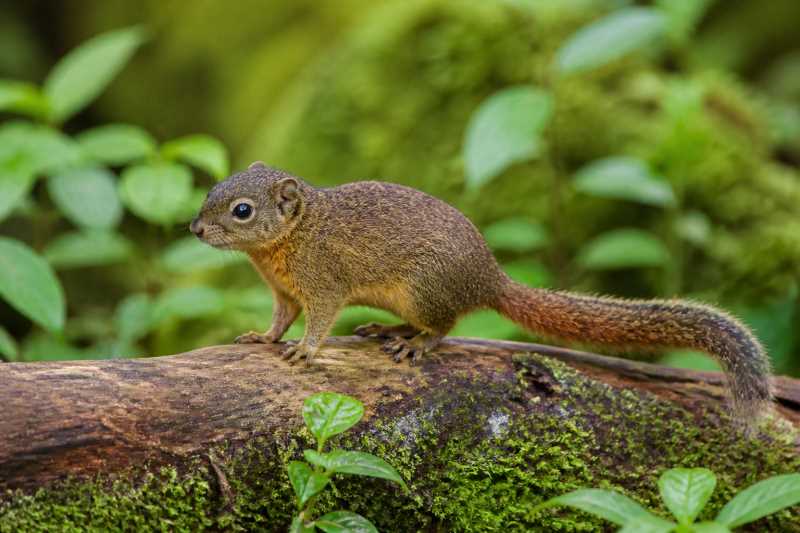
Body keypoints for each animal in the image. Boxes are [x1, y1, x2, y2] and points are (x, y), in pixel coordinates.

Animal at [191, 162, 773, 423]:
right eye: (211, 191)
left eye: (241, 210)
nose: (193, 228)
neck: (289, 242)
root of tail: (489, 277)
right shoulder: (284, 293)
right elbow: (278, 321)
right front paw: (261, 339)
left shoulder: (323, 284)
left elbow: (318, 321)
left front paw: (306, 351)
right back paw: (386, 328)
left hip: (422, 289)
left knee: (445, 327)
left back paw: (413, 344)